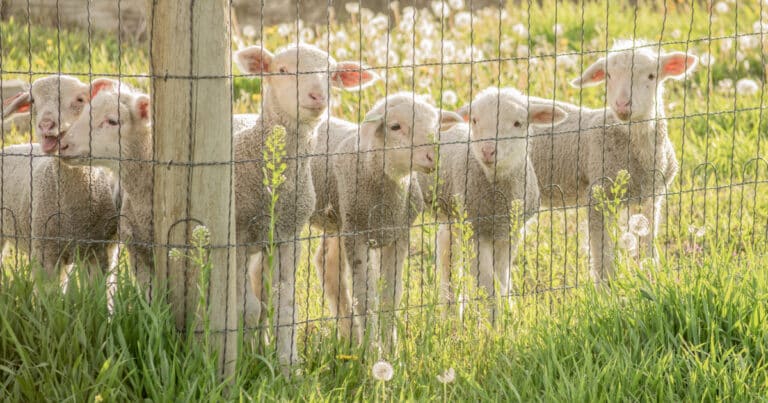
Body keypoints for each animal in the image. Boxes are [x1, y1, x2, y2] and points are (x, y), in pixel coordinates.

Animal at [234, 43, 378, 370]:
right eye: (282, 70)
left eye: (331, 75)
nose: (317, 96)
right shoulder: (235, 236)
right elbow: (247, 307)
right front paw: (244, 357)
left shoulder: (289, 235)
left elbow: (284, 304)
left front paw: (287, 365)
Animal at [424, 87, 568, 318]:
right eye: (474, 120)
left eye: (518, 123)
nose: (488, 150)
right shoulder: (476, 232)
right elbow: (487, 285)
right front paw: (493, 321)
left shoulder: (509, 232)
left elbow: (502, 281)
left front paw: (505, 316)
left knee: (447, 255)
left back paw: (451, 315)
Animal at [528, 40, 696, 284]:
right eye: (608, 75)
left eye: (651, 75)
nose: (622, 104)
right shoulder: (598, 196)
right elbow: (603, 258)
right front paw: (607, 291)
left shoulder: (652, 196)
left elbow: (648, 248)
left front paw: (651, 279)